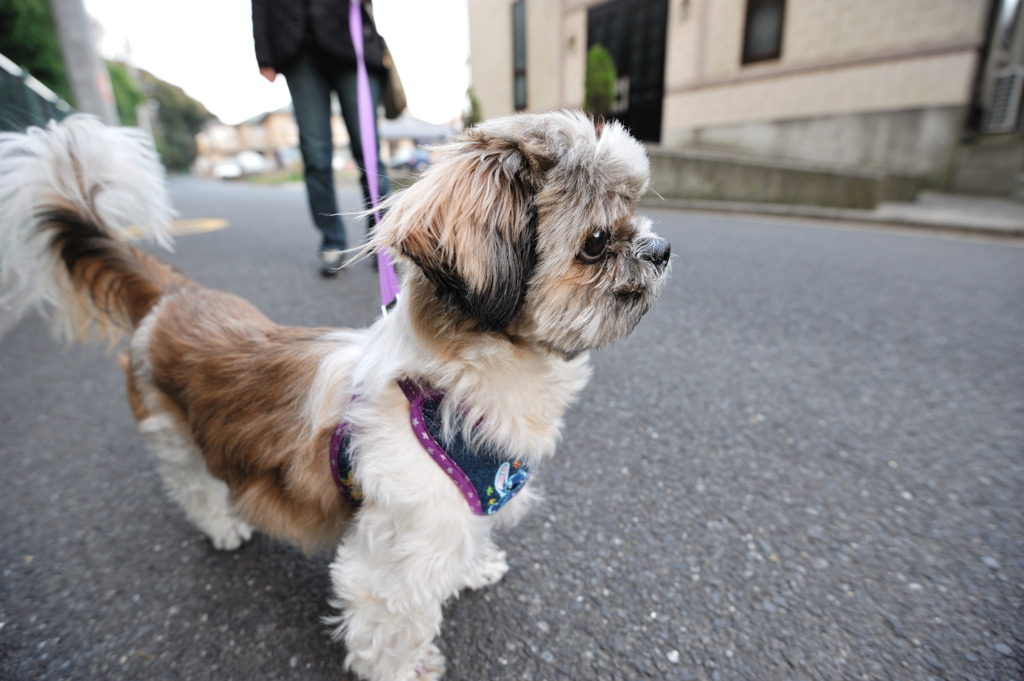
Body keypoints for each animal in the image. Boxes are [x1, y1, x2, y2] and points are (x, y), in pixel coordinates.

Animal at [0, 112, 667, 679]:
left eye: (636, 215)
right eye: (596, 241)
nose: (659, 249)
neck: (450, 394)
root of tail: (174, 296)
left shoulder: (467, 507)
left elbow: (471, 541)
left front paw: (475, 568)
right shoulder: (396, 563)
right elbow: (391, 628)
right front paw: (406, 669)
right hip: (171, 433)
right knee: (193, 485)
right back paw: (222, 526)